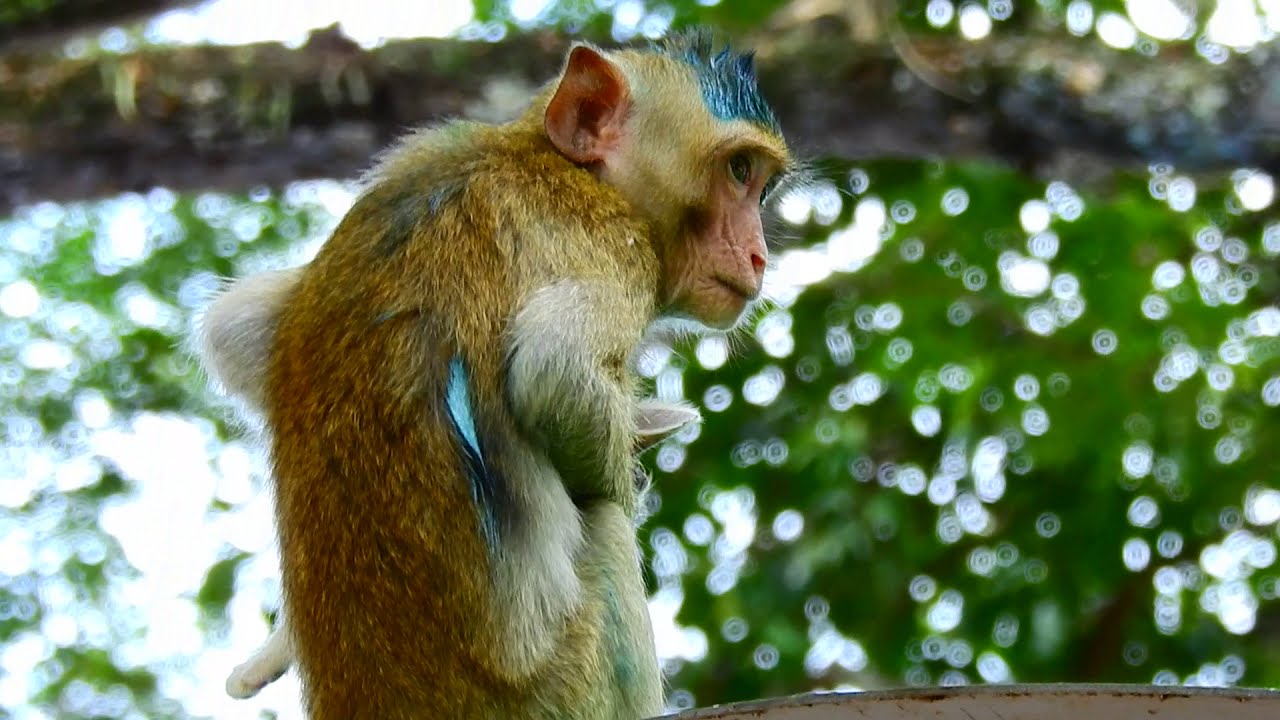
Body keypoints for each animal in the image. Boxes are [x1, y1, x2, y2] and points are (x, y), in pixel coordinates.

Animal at [197, 30, 789, 719]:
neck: (546, 157)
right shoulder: (618, 249)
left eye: (760, 185)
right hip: (558, 690)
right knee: (606, 531)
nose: (759, 255)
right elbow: (553, 376)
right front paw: (631, 479)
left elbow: (238, 330)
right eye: (739, 170)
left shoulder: (426, 149)